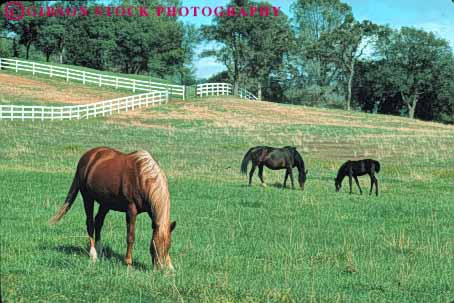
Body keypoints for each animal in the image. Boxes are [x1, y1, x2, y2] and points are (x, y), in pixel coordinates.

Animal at [48, 147, 176, 270]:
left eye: (168, 246)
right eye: (154, 246)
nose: (159, 269)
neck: (141, 176)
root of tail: (87, 156)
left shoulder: (152, 212)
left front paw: (170, 265)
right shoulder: (131, 210)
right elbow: (130, 236)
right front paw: (128, 263)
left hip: (105, 203)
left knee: (98, 221)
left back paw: (100, 250)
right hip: (87, 197)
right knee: (90, 223)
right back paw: (93, 255)